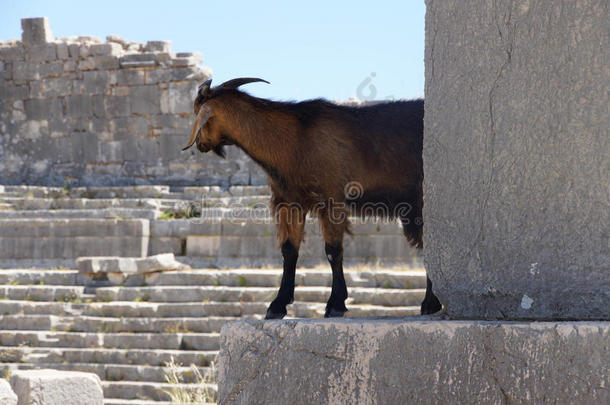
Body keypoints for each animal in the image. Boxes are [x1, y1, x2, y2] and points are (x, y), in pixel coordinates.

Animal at [183, 77, 440, 318]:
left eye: (197, 111)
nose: (201, 144)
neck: (293, 139)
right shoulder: (289, 202)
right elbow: (289, 251)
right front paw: (277, 305)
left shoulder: (331, 199)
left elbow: (333, 250)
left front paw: (335, 304)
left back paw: (430, 303)